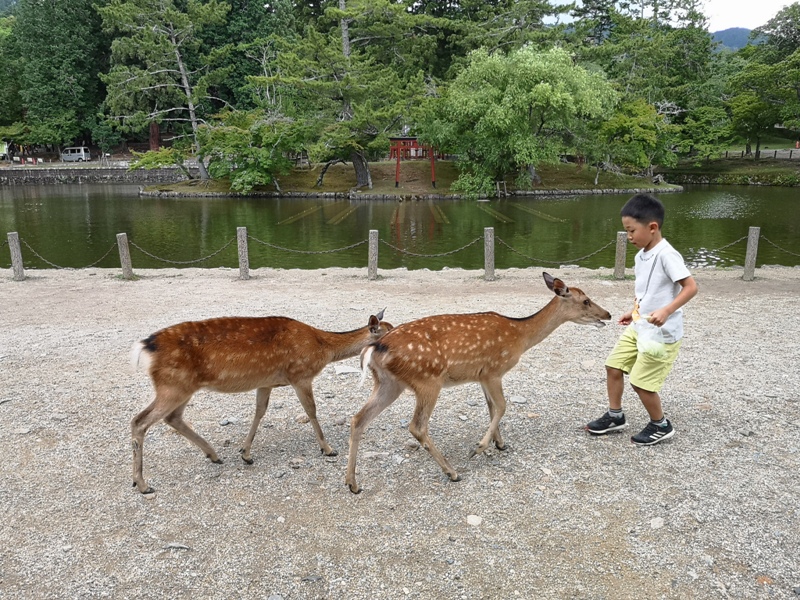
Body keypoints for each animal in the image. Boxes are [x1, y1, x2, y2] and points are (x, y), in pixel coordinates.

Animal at [130, 309, 393, 494]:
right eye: (387, 331)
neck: (323, 348)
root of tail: (145, 347)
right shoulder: (300, 375)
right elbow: (311, 410)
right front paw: (328, 449)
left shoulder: (266, 382)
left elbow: (260, 411)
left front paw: (245, 453)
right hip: (173, 386)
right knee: (139, 421)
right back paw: (142, 484)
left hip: (183, 387)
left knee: (173, 417)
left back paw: (213, 455)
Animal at [345, 274, 610, 494]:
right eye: (586, 301)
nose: (607, 314)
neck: (520, 336)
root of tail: (374, 347)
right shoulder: (494, 370)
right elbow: (502, 406)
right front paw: (479, 447)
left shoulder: (481, 375)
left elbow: (491, 408)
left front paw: (500, 443)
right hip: (427, 380)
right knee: (417, 426)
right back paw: (452, 472)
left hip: (389, 383)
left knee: (358, 418)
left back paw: (352, 483)